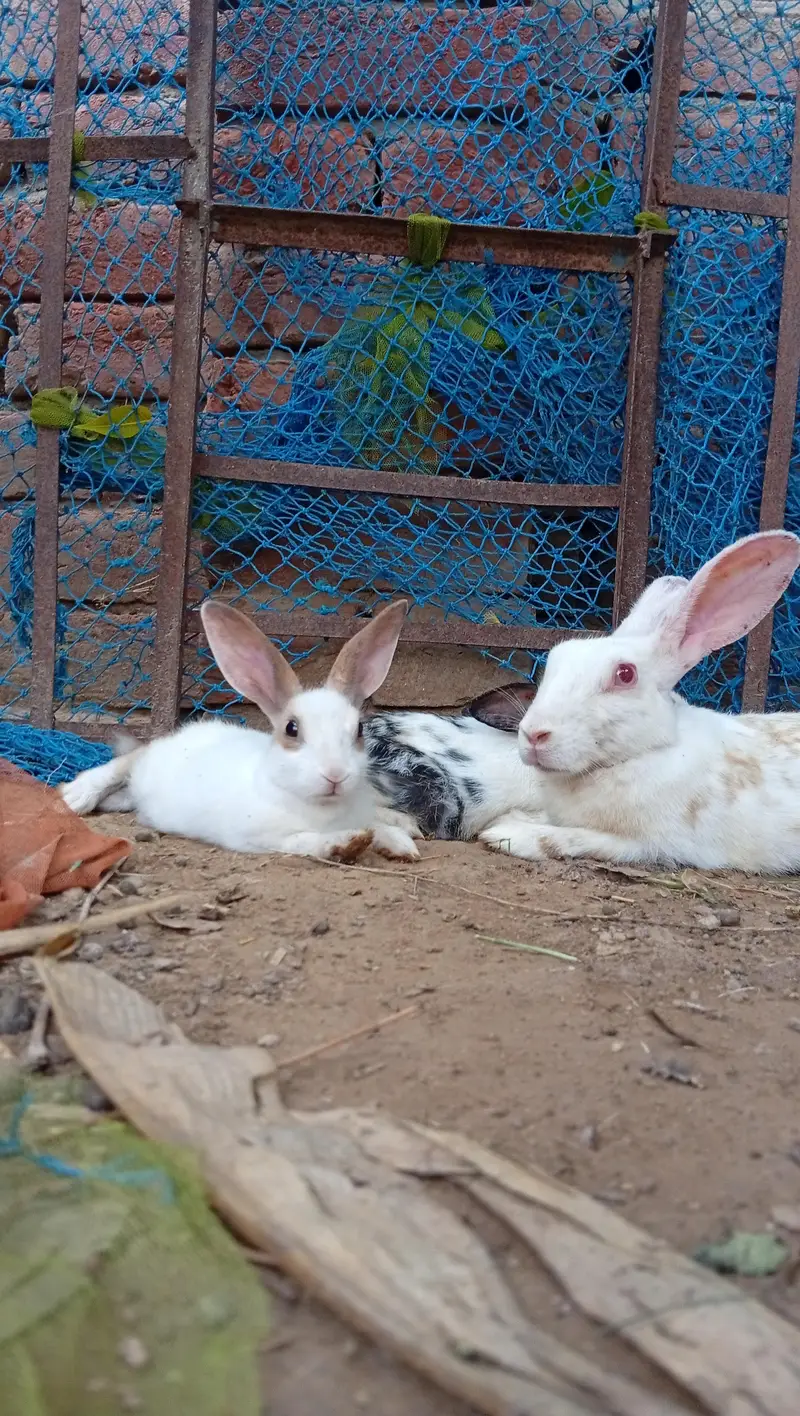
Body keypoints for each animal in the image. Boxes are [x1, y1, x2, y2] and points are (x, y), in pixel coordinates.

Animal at [60, 599, 420, 863]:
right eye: (291, 729)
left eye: (358, 730)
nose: (335, 775)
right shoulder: (262, 838)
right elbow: (307, 842)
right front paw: (345, 844)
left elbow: (374, 824)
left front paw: (400, 844)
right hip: (146, 763)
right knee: (124, 763)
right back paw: (74, 797)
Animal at [479, 530, 800, 873]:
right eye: (555, 659)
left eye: (625, 674)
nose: (534, 734)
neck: (648, 751)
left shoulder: (651, 844)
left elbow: (576, 839)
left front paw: (507, 833)